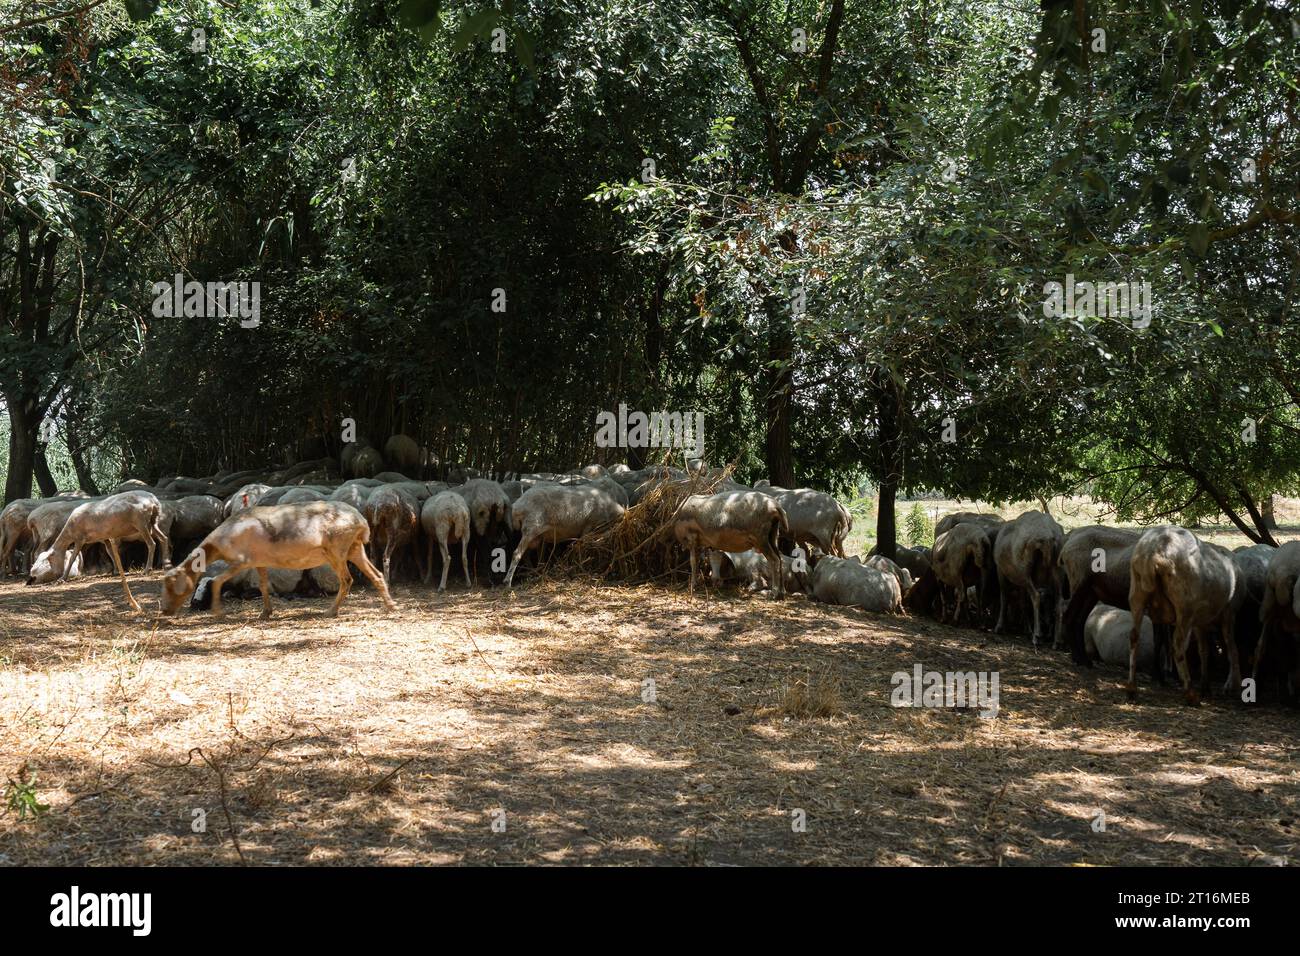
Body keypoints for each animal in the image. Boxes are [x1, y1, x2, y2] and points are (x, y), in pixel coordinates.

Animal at [24, 494, 167, 613]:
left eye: (46, 560)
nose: (31, 577)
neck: (69, 531)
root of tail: (154, 502)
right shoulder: (104, 537)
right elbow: (110, 552)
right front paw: (115, 570)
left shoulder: (80, 539)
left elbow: (73, 557)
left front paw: (63, 578)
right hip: (153, 523)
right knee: (164, 539)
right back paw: (166, 565)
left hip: (141, 523)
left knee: (152, 544)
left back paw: (147, 569)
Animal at [159, 502, 390, 621]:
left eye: (171, 585)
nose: (164, 611)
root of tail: (362, 521)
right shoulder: (258, 561)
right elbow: (263, 585)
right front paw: (265, 612)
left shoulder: (241, 561)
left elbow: (216, 581)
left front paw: (217, 611)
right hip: (354, 548)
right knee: (376, 574)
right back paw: (390, 605)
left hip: (337, 550)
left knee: (347, 580)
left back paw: (331, 611)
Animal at [993, 512, 1066, 647]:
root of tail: (1048, 536)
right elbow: (1023, 602)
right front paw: (1026, 629)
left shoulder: (1000, 570)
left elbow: (1004, 598)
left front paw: (999, 627)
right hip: (1058, 568)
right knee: (1059, 602)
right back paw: (1056, 641)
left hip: (1024, 569)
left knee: (1036, 596)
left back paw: (1037, 636)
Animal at [1128, 528, 1237, 707]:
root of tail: (1155, 552)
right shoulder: (1226, 611)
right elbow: (1229, 645)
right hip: (1185, 607)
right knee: (1178, 646)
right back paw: (1190, 693)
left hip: (1137, 593)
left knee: (1134, 636)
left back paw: (1131, 689)